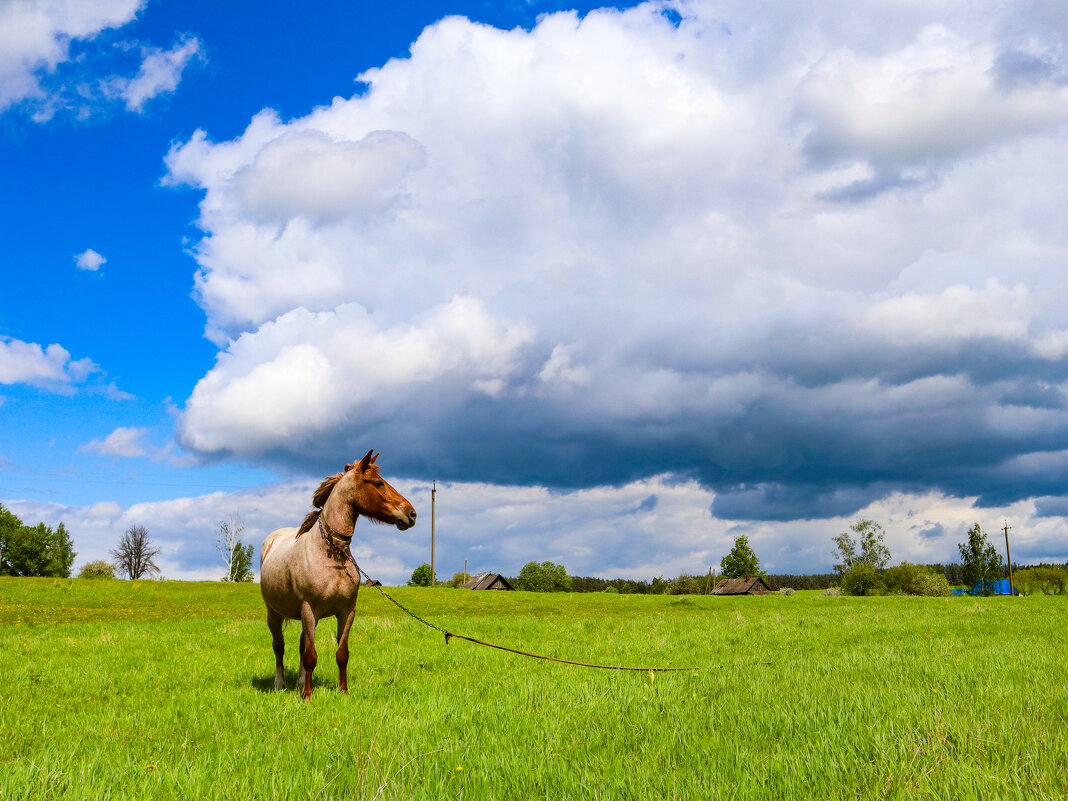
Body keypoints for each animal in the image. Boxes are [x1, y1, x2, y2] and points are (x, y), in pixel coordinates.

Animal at [260, 452, 418, 700]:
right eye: (378, 483)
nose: (411, 513)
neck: (332, 555)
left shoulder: (346, 612)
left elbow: (341, 653)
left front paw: (343, 691)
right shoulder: (309, 610)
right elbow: (310, 656)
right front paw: (307, 696)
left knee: (301, 645)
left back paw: (299, 682)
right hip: (273, 613)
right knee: (279, 646)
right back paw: (280, 684)